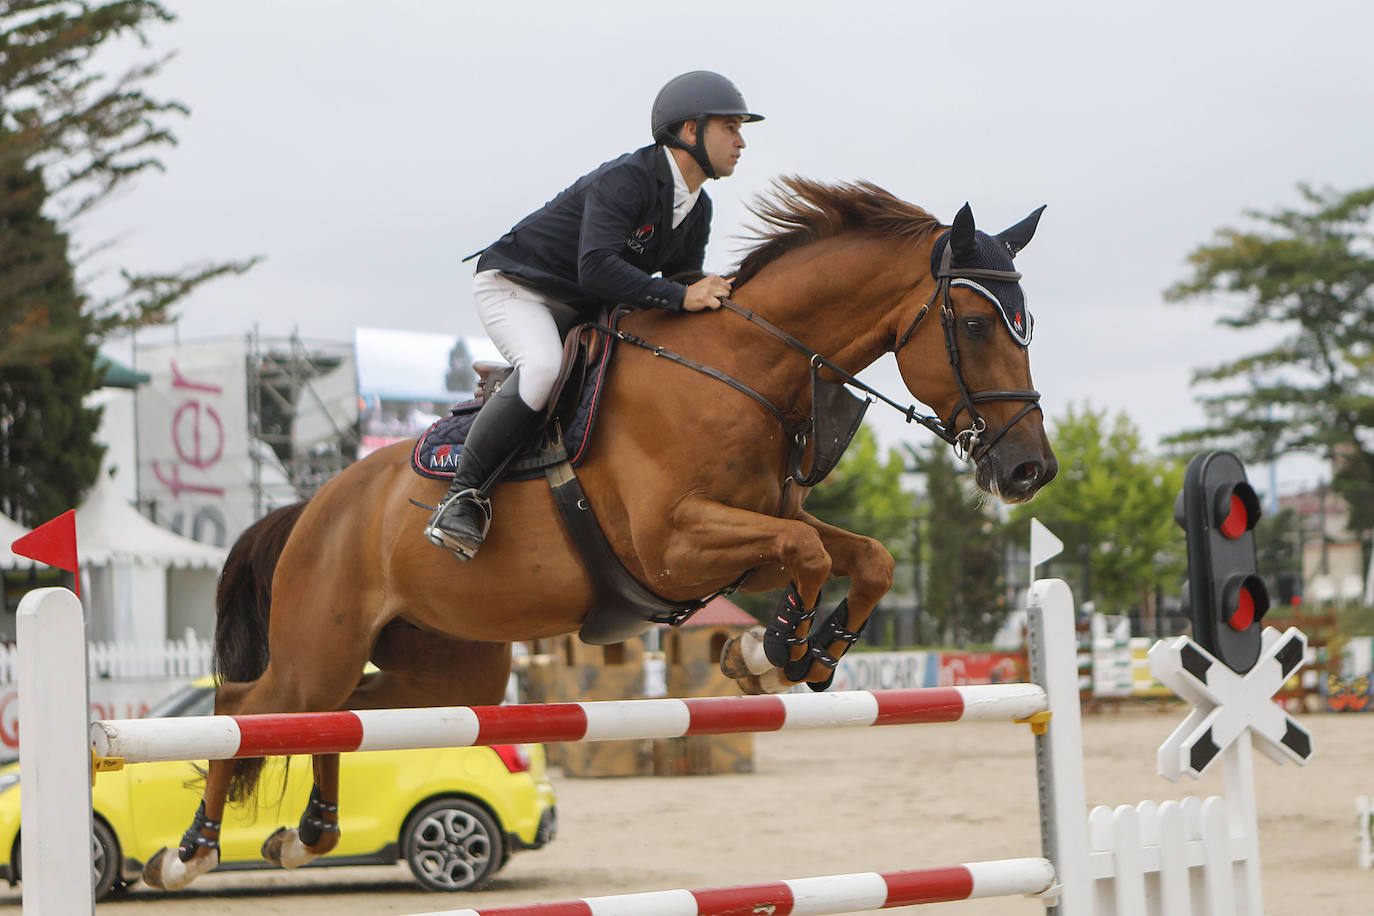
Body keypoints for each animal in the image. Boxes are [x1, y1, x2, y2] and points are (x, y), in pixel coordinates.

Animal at [142, 177, 1058, 891]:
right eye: (976, 326)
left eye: (1027, 323)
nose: (1030, 471)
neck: (745, 368)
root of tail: (311, 507)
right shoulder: (675, 545)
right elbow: (806, 556)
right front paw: (774, 650)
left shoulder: (752, 535)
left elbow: (868, 557)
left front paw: (798, 653)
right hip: (317, 645)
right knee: (244, 707)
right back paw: (190, 854)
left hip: (448, 671)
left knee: (337, 718)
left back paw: (308, 835)